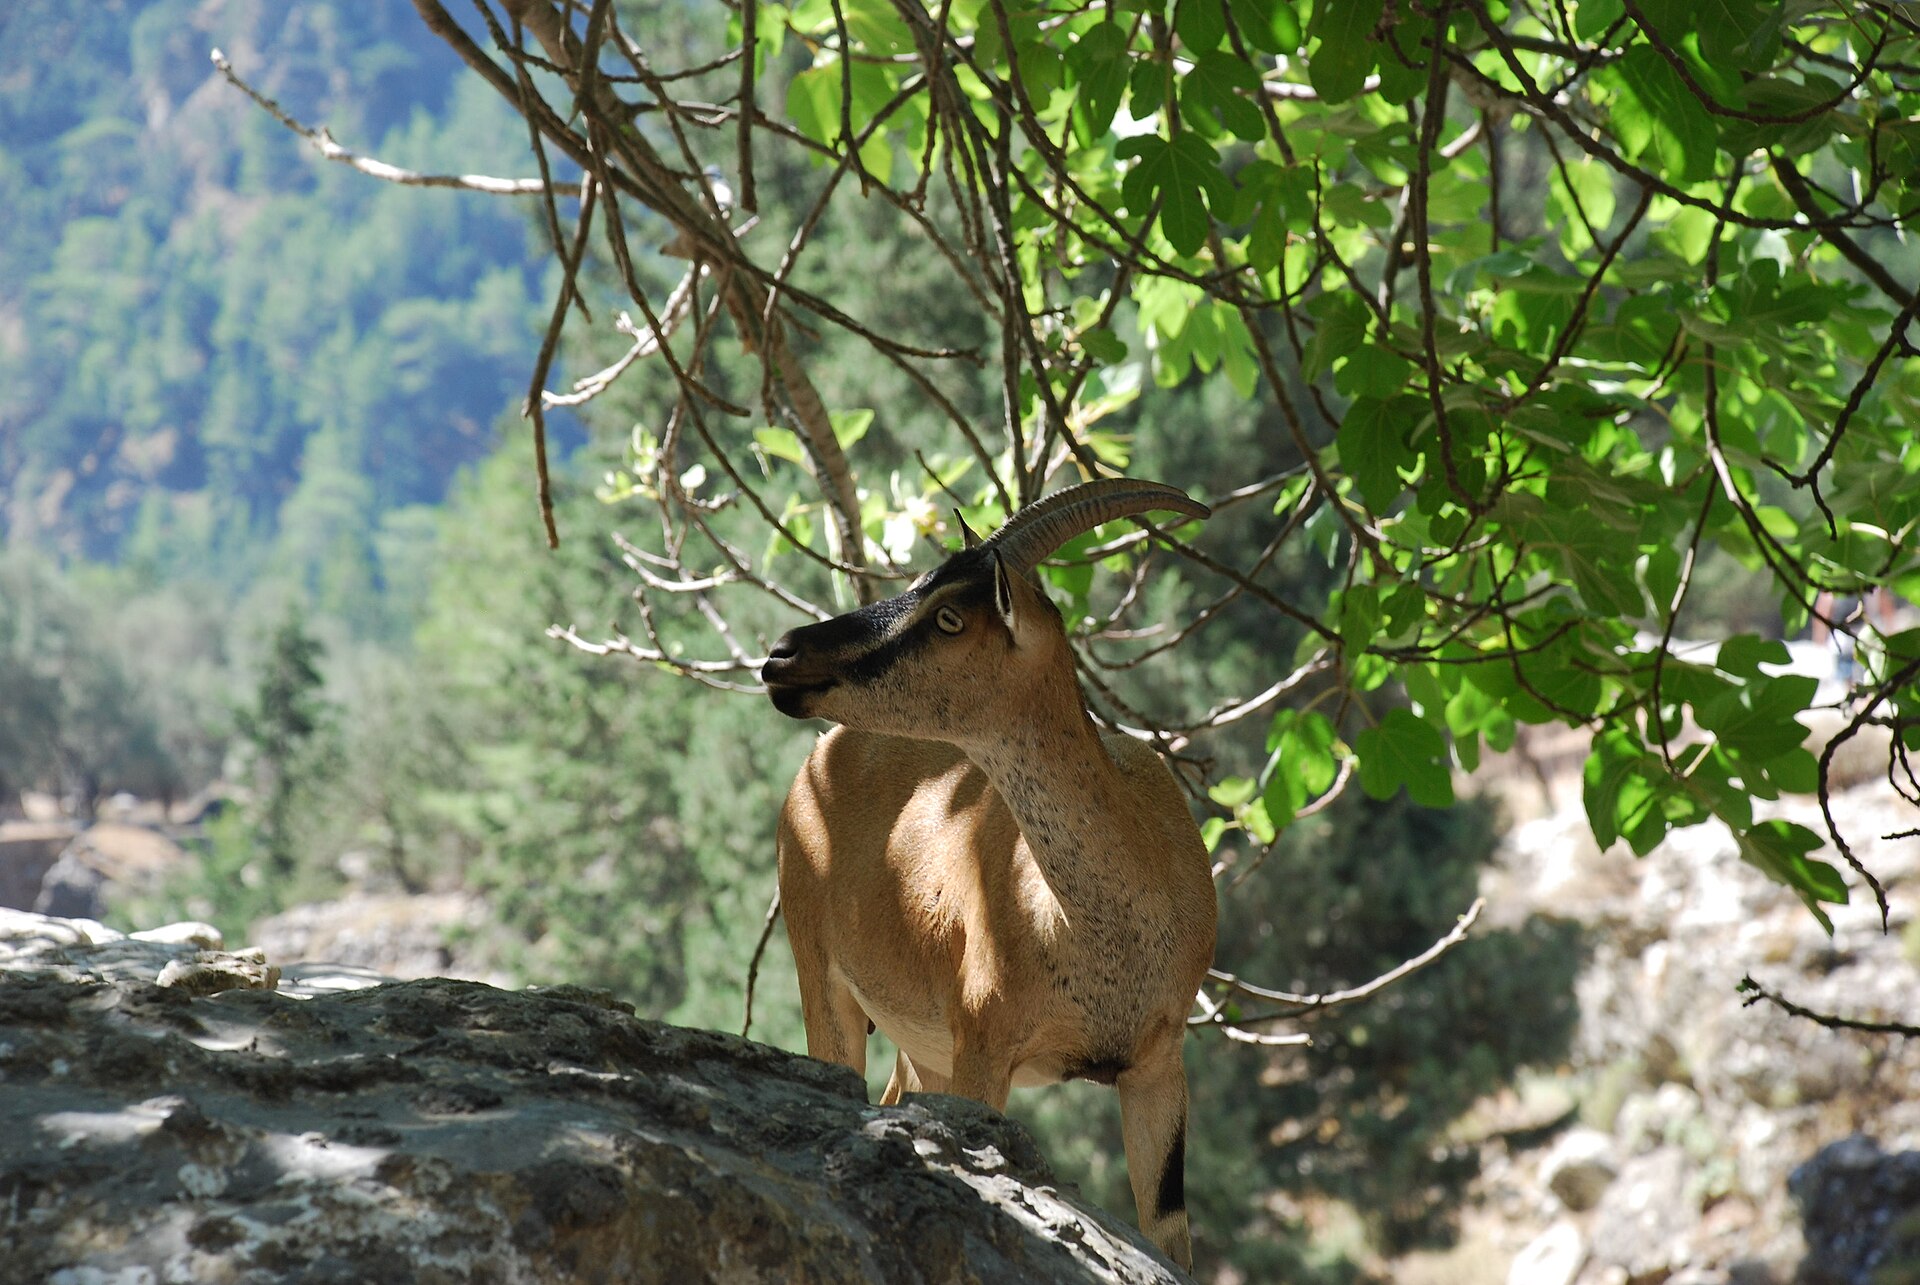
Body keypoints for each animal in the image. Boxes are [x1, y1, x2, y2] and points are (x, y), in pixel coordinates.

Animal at [761, 478, 1218, 1270]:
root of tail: (817, 763)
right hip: (821, 972)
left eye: (948, 616)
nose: (784, 654)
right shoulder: (983, 1044)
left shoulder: (1158, 1061)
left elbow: (1168, 1234)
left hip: (920, 1046)